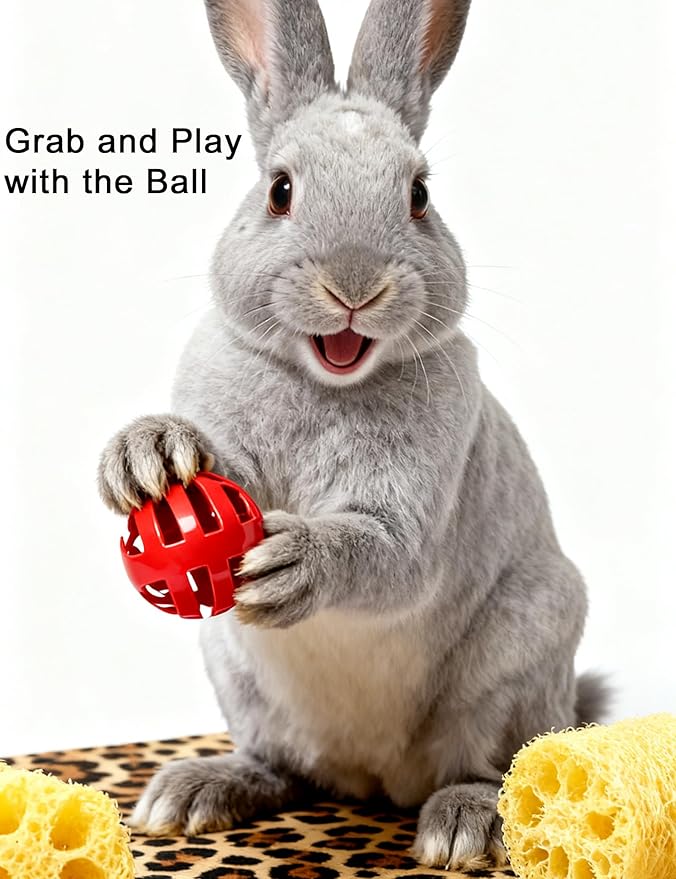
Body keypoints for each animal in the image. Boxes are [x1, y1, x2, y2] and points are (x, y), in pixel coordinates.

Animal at [98, 0, 608, 870]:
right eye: (279, 191)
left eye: (419, 196)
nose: (354, 285)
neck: (325, 380)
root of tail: (375, 776)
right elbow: (205, 454)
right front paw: (144, 456)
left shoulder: (408, 513)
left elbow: (382, 552)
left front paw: (291, 562)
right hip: (241, 681)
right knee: (286, 768)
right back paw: (197, 792)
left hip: (517, 654)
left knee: (493, 766)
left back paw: (464, 826)